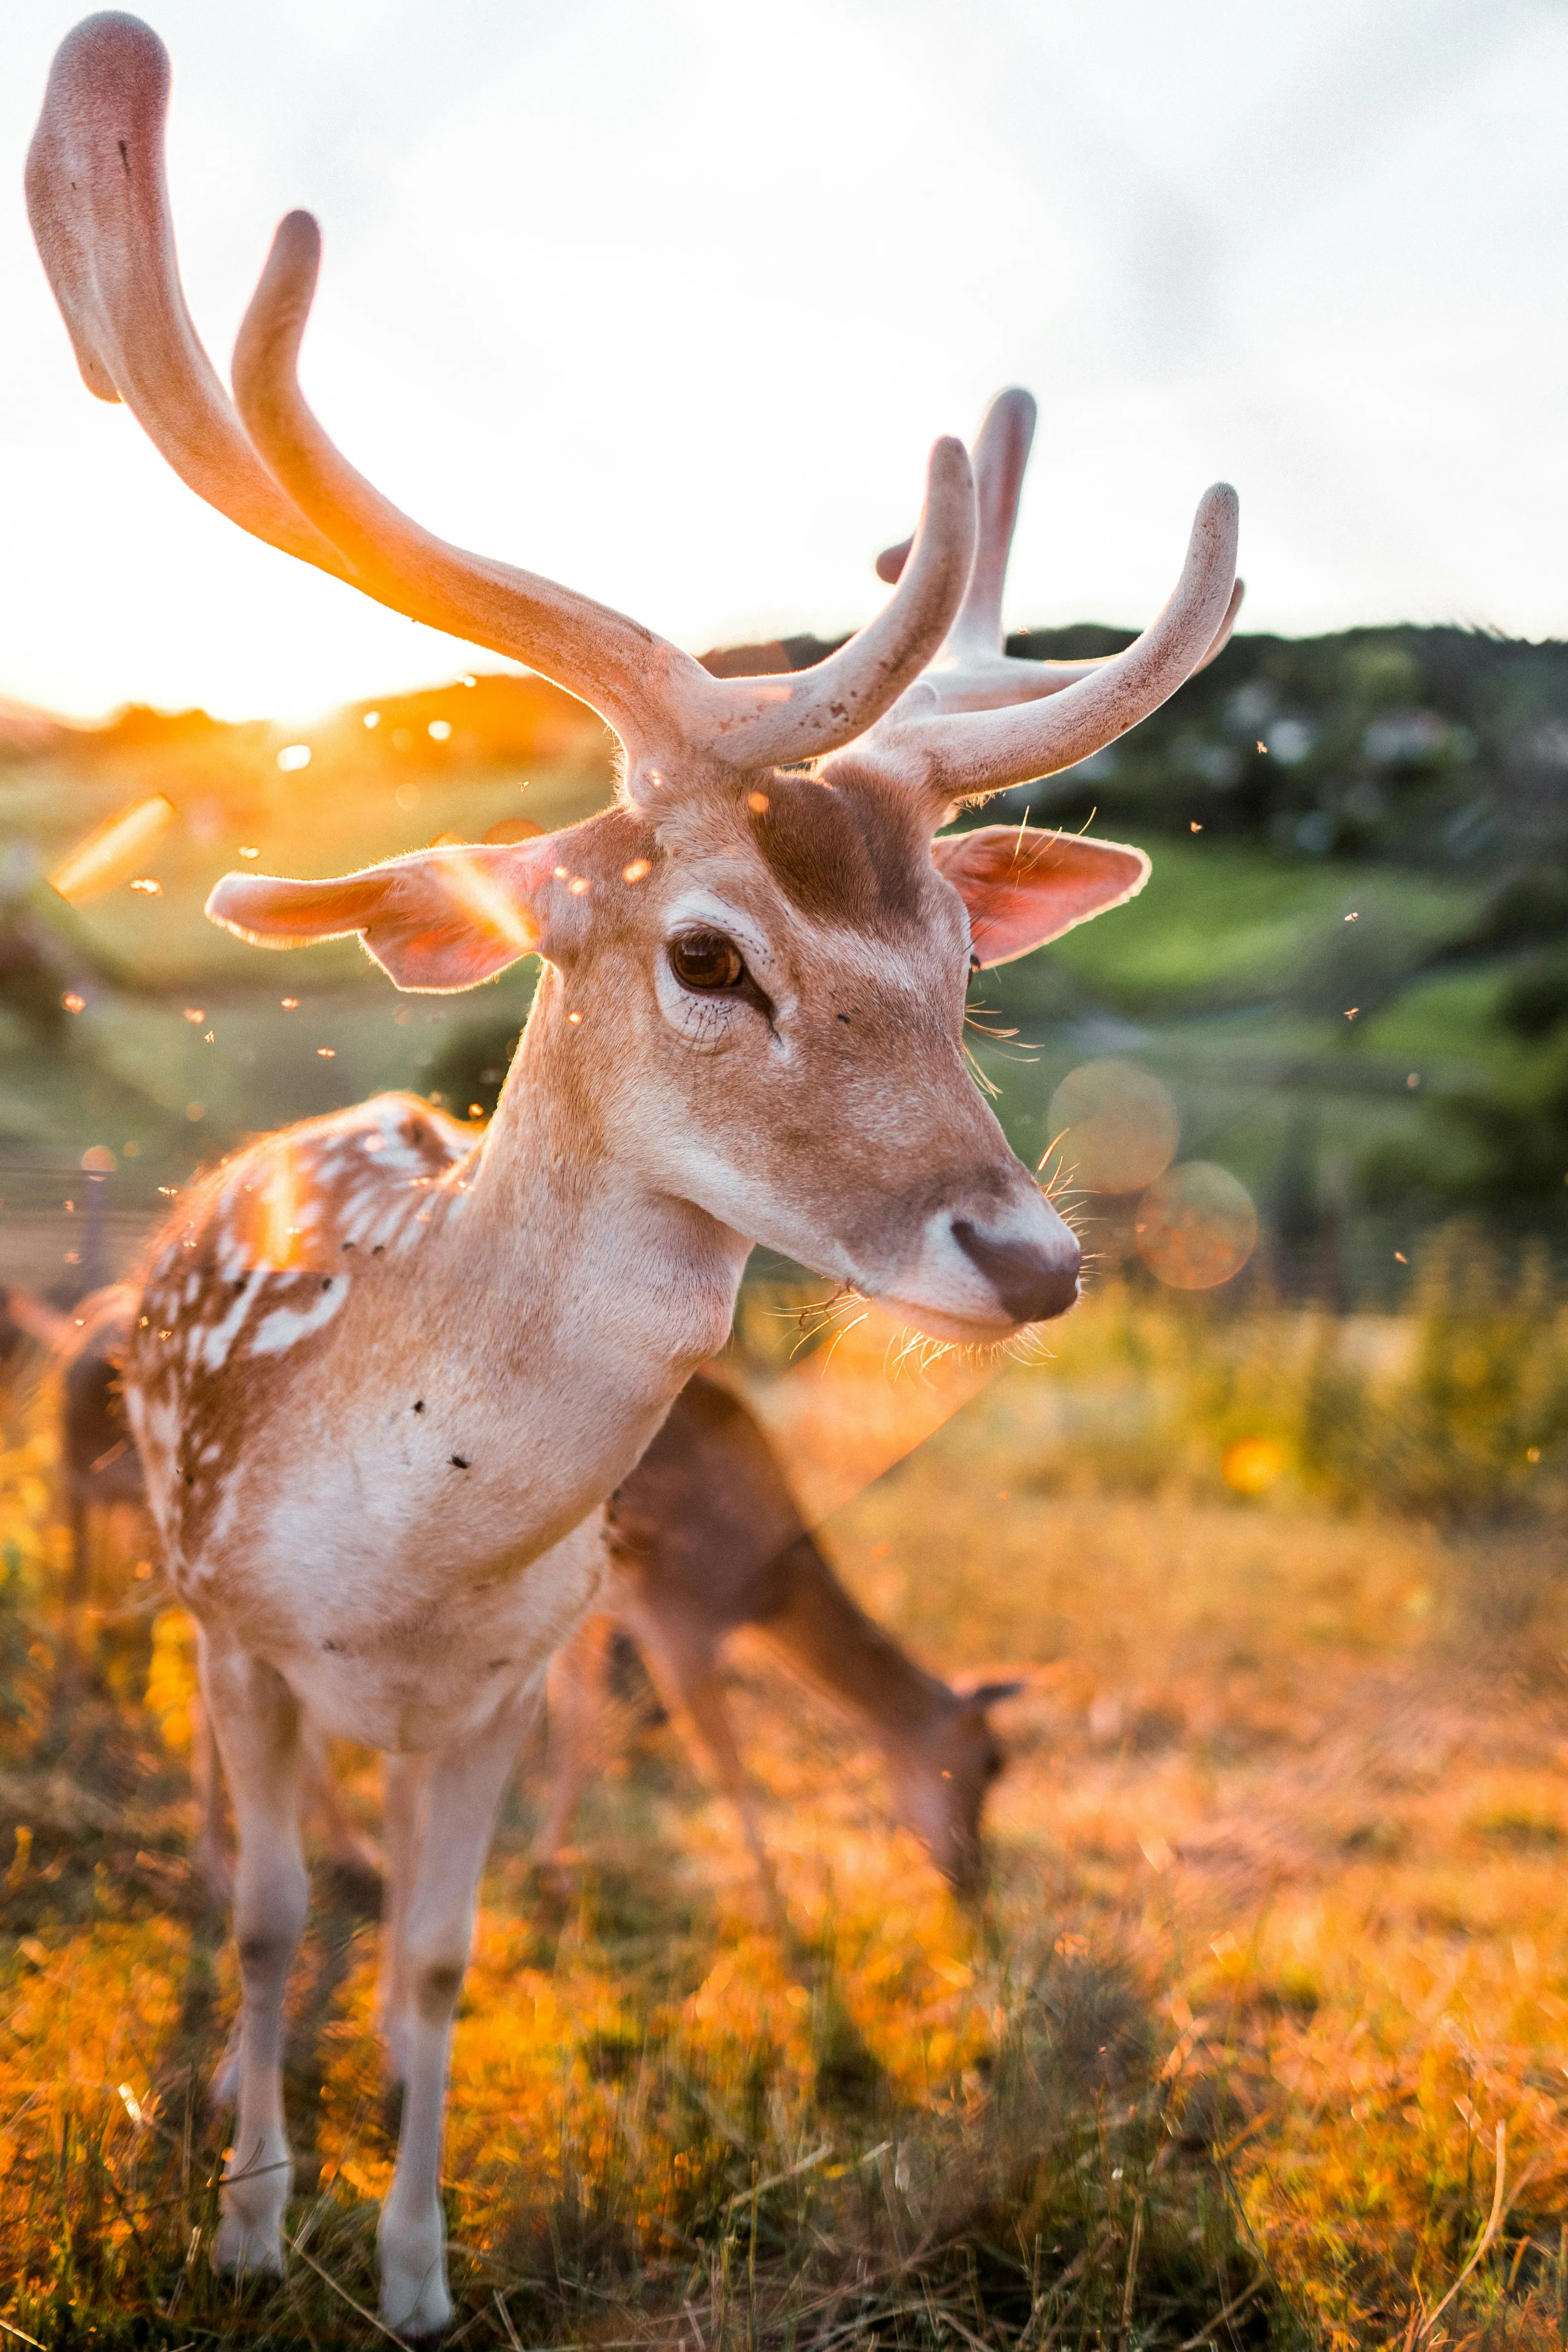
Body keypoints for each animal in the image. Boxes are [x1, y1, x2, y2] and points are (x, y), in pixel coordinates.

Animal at [28, 15, 1238, 2330]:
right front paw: (246, 2225)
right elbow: (271, 1922)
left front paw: (412, 2269)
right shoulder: (246, 1632)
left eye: (960, 957)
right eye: (705, 954)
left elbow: (431, 1966)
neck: (400, 1558)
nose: (1031, 1254)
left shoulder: (512, 1682)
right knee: (227, 1853)